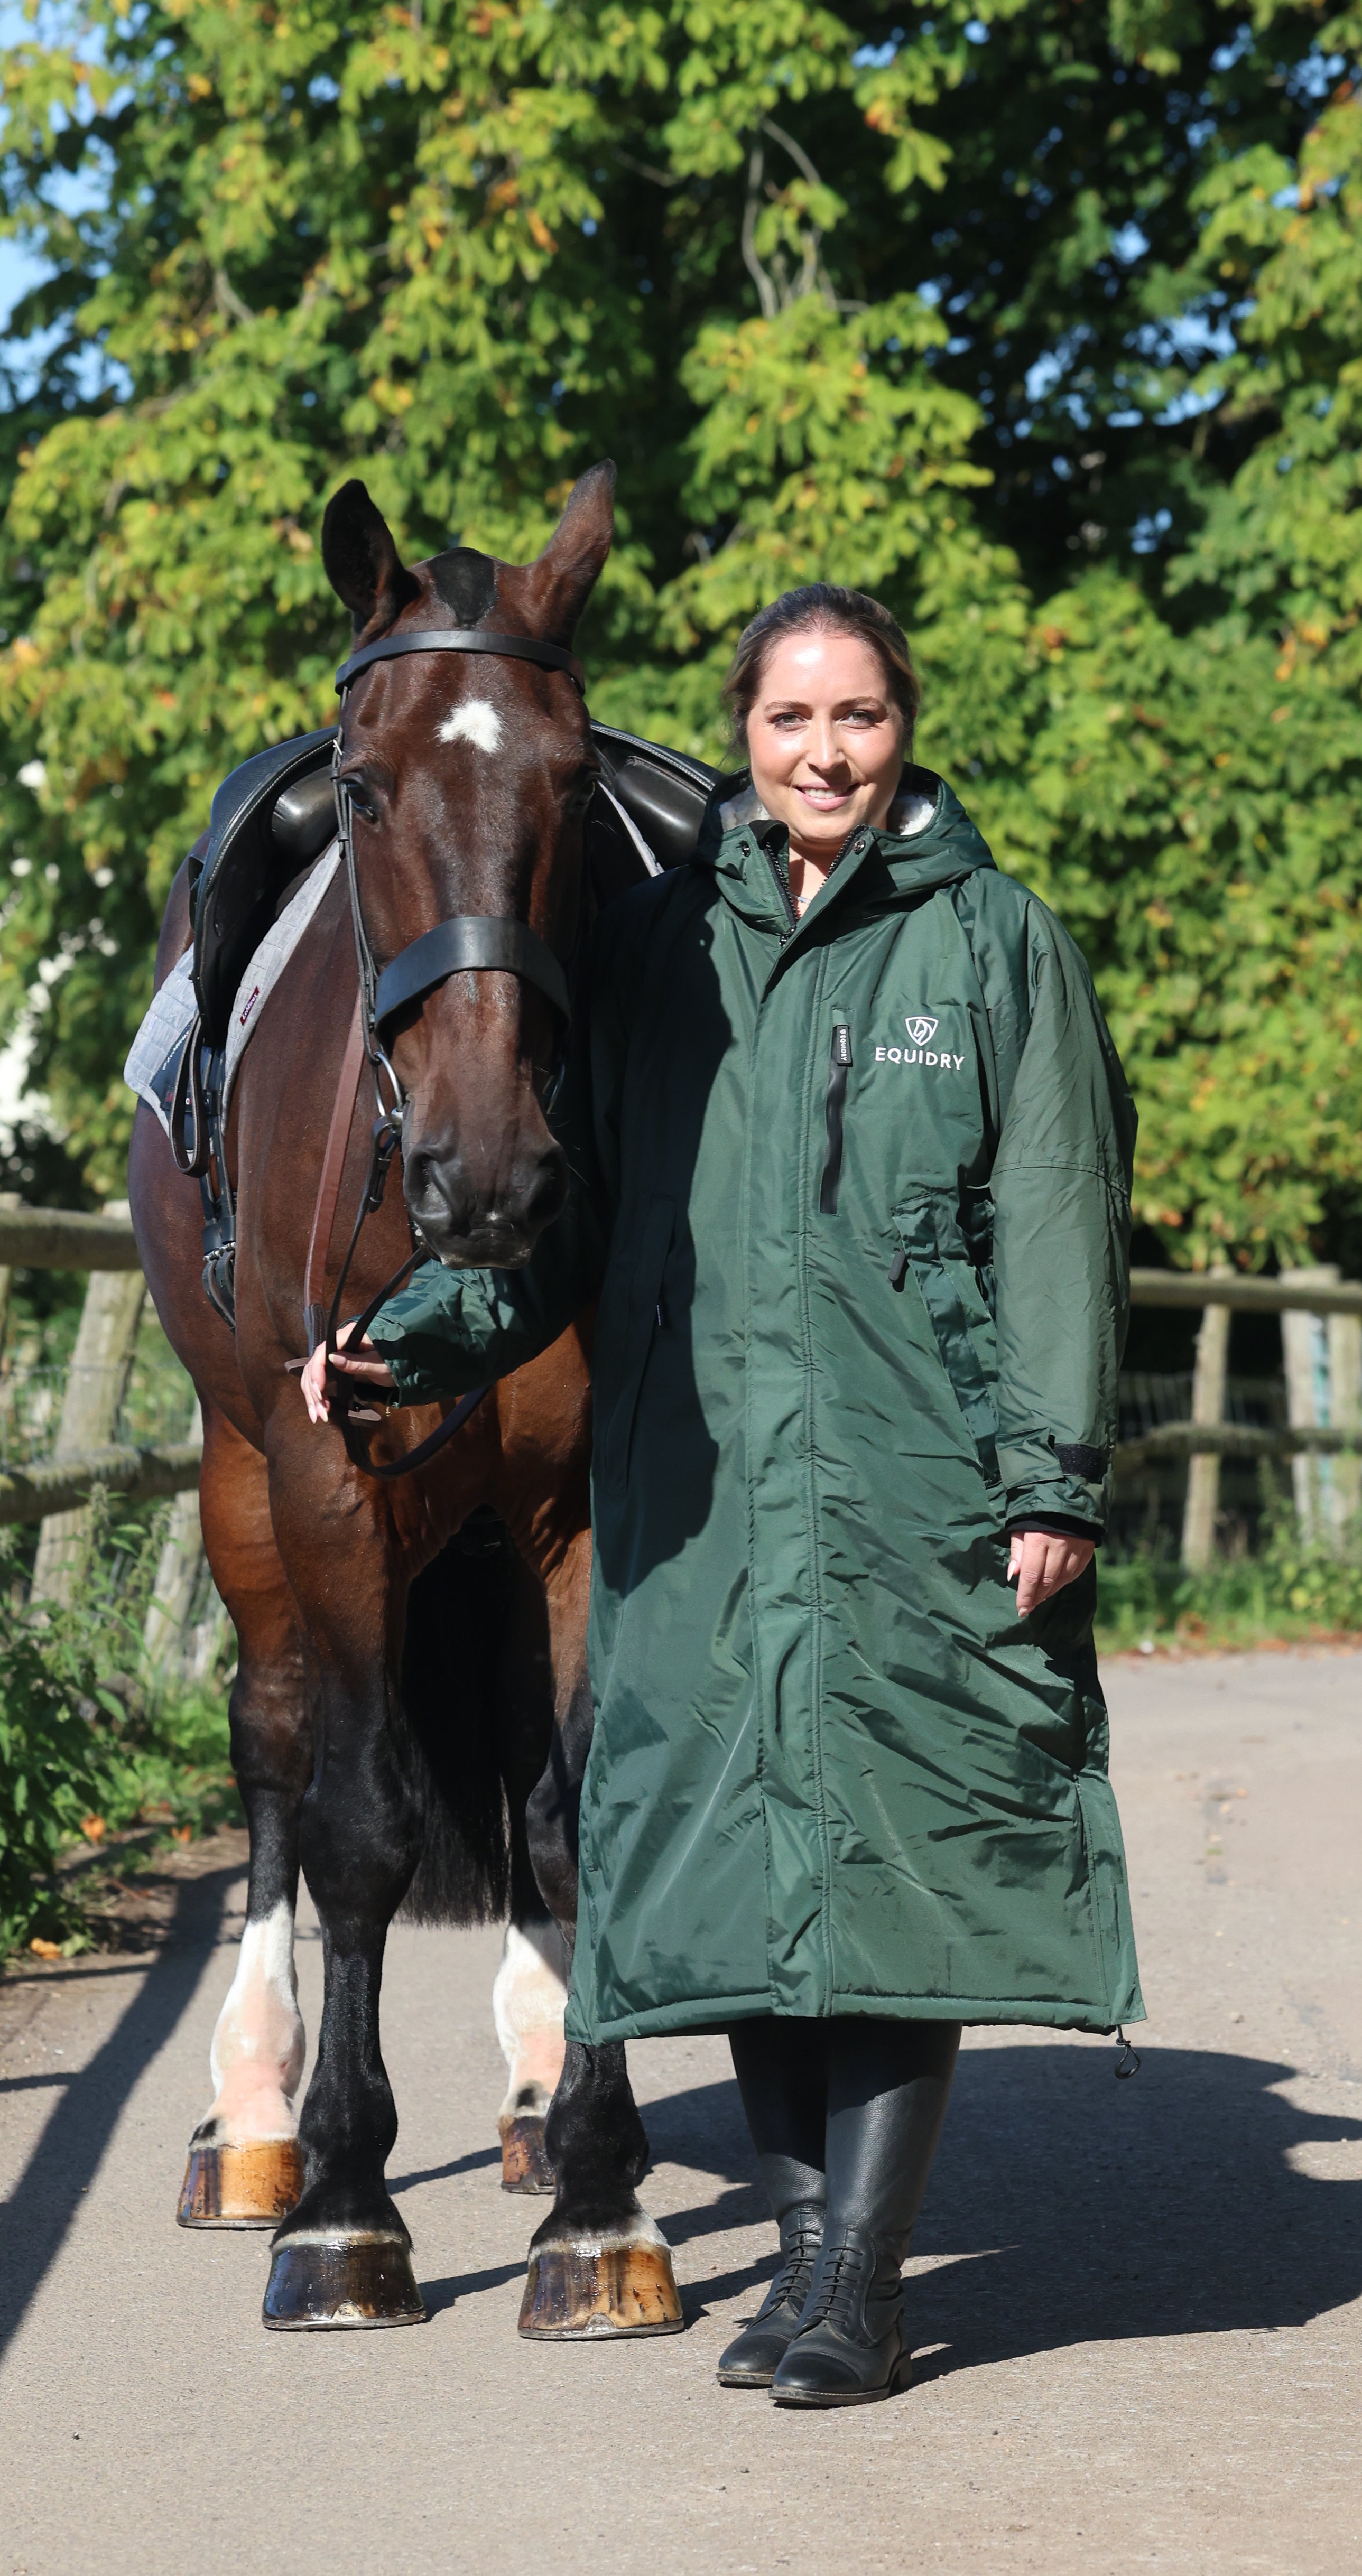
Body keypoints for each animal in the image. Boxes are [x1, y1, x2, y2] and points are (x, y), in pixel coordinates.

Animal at [128, 461, 687, 2335]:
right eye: (367, 791)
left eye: (574, 784)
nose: (490, 1173)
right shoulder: (332, 1475)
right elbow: (358, 1824)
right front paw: (346, 2201)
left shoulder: (585, 1504)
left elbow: (574, 1819)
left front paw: (597, 2194)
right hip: (244, 1482)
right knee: (280, 1743)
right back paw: (251, 2116)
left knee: (510, 1761)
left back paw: (527, 2090)